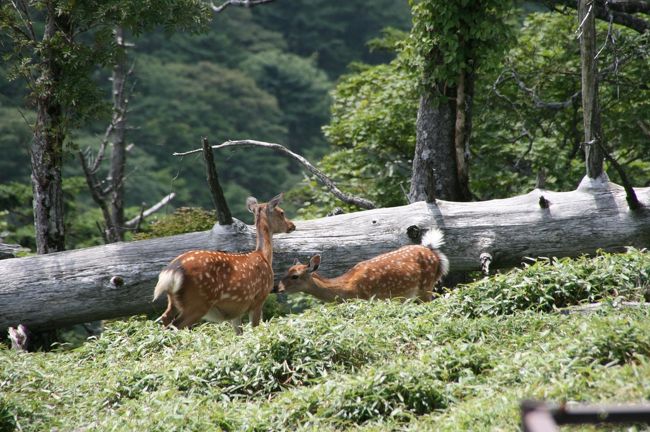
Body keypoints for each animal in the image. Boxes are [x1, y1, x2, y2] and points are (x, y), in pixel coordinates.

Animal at [153, 193, 295, 333]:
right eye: (281, 212)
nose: (292, 225)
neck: (264, 256)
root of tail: (171, 272)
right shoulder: (259, 298)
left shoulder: (237, 309)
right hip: (197, 302)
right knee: (175, 326)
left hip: (173, 300)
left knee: (165, 318)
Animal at [275, 228, 449, 302]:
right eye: (285, 272)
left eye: (295, 276)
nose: (277, 289)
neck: (346, 288)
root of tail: (432, 251)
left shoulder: (369, 299)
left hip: (426, 286)